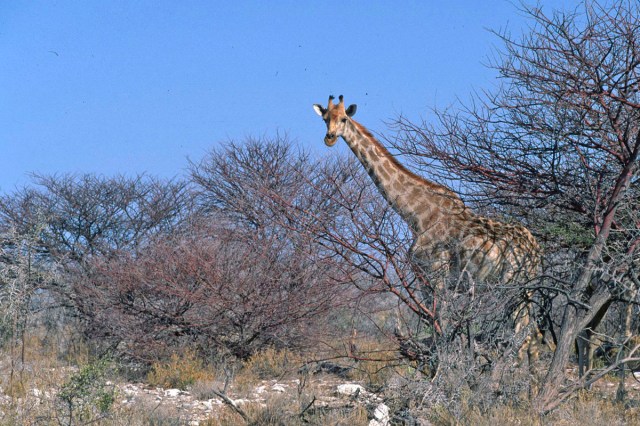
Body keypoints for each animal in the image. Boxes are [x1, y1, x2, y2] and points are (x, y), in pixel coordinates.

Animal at [313, 95, 543, 365]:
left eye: (344, 119)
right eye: (325, 118)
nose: (329, 138)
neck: (415, 217)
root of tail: (537, 252)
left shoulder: (435, 275)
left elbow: (441, 329)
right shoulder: (427, 279)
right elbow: (437, 329)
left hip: (514, 284)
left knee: (522, 335)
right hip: (525, 288)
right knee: (532, 336)